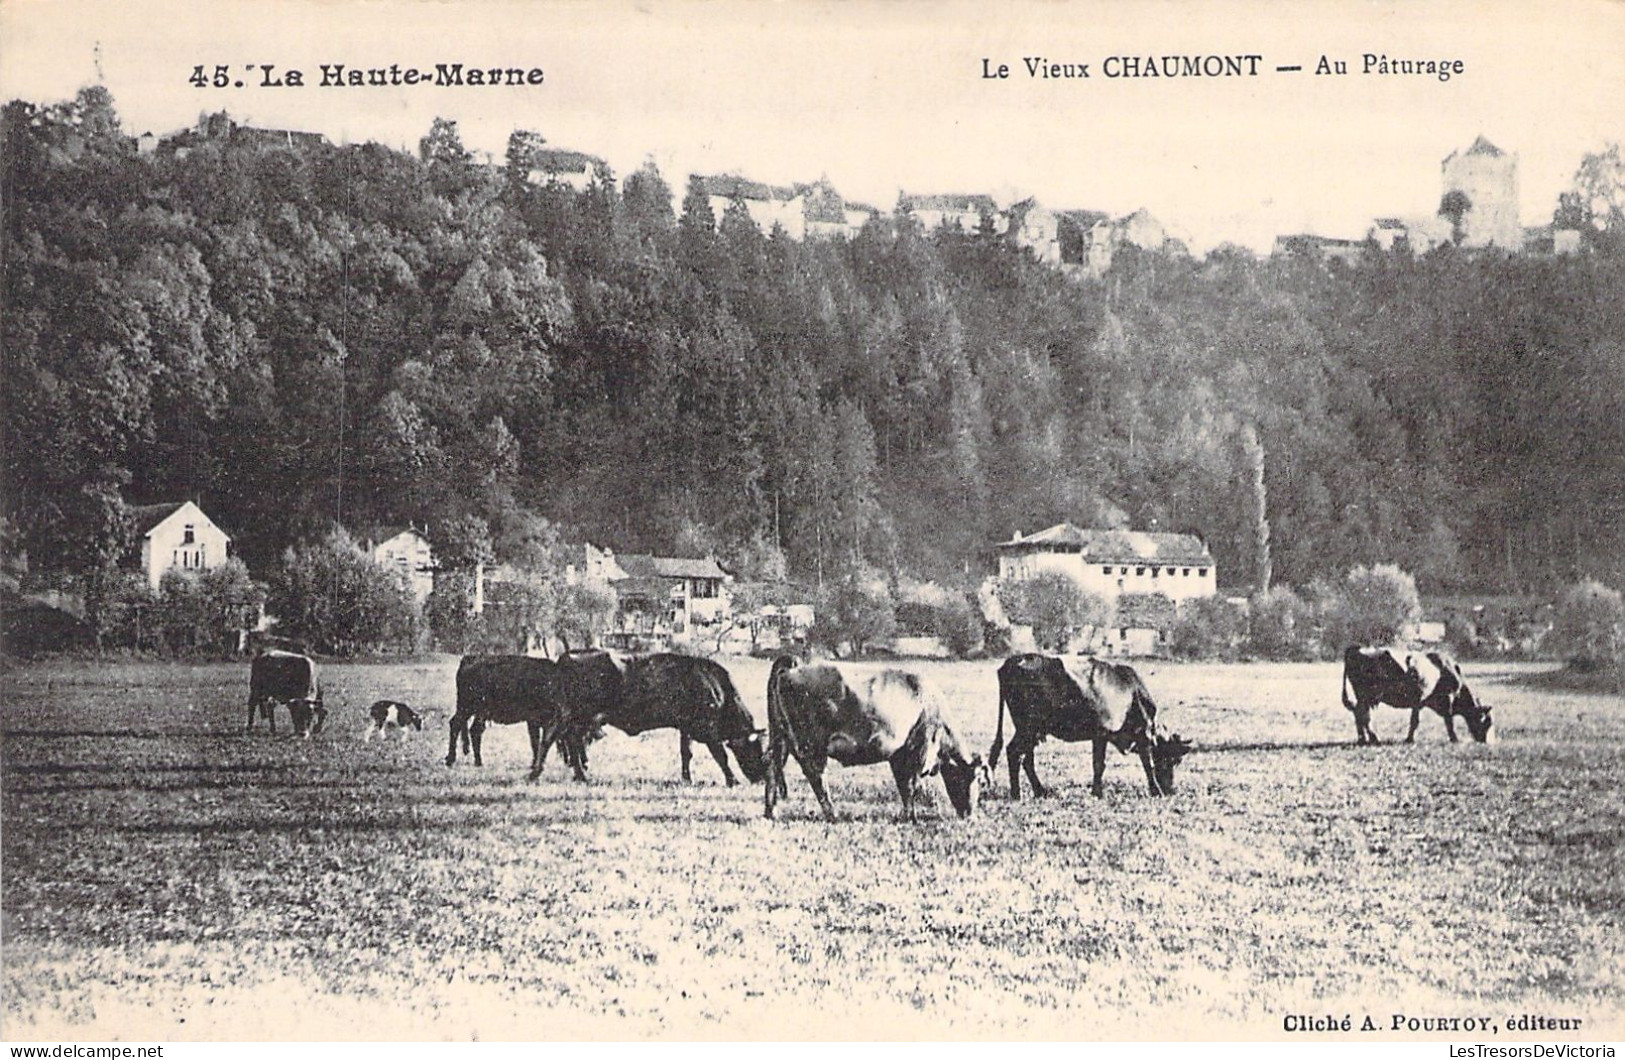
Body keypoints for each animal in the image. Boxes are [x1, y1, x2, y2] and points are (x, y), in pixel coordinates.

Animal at [763, 653, 981, 819]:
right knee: (816, 777)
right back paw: (832, 814)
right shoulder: (917, 751)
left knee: (773, 768)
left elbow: (903, 785)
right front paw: (911, 817)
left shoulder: (898, 755)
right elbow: (911, 785)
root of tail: (794, 667)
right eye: (976, 778)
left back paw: (771, 812)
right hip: (811, 744)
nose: (969, 813)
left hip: (781, 739)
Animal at [981, 650, 1189, 799]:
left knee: (1026, 758)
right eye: (1173, 759)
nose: (1171, 790)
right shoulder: (1134, 734)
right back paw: (1017, 794)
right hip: (1028, 727)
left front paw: (1096, 792)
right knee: (1014, 752)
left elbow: (1099, 764)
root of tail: (1013, 661)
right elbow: (1144, 764)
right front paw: (1155, 791)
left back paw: (1040, 792)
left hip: (1031, 730)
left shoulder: (1100, 736)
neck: (1134, 693)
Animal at [1339, 647, 1488, 744]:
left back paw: (1363, 739)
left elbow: (1415, 721)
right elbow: (1447, 720)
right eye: (1486, 721)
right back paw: (1372, 738)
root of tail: (1355, 648)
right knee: (1363, 716)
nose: (1484, 740)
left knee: (1359, 714)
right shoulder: (1446, 699)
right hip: (1365, 696)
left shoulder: (1419, 703)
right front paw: (1454, 739)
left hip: (1363, 698)